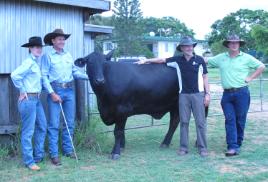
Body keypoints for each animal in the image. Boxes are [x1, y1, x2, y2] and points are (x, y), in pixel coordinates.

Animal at [75, 50, 207, 159]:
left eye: (104, 63)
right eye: (89, 63)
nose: (100, 80)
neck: (103, 100)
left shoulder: (122, 109)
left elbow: (118, 131)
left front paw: (116, 152)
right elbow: (121, 130)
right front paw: (122, 145)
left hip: (200, 103)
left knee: (200, 120)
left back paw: (197, 143)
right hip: (175, 105)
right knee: (174, 122)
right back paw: (165, 143)